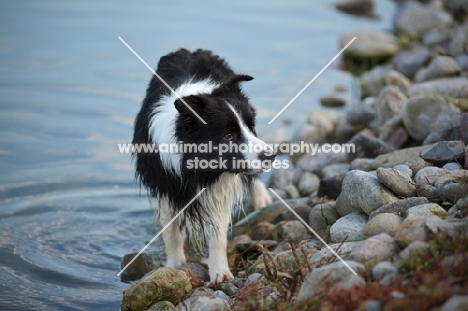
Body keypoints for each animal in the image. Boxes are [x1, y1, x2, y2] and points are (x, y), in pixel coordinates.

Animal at [133, 48, 274, 282]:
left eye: (251, 126)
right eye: (228, 135)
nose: (271, 156)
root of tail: (189, 50)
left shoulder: (222, 184)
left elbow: (218, 235)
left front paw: (220, 273)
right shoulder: (165, 185)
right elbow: (171, 232)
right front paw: (174, 266)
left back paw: (261, 198)